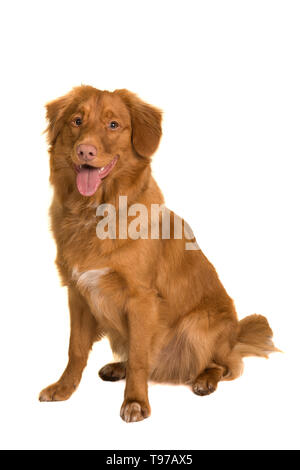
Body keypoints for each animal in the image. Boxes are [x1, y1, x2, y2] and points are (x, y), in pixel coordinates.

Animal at [38, 84, 278, 422]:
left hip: (198, 325)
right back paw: (118, 367)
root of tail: (235, 336)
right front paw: (64, 389)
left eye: (113, 124)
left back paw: (205, 379)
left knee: (226, 365)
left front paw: (135, 401)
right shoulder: (77, 293)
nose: (85, 151)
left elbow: (140, 355)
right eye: (77, 121)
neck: (96, 212)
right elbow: (76, 349)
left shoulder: (141, 298)